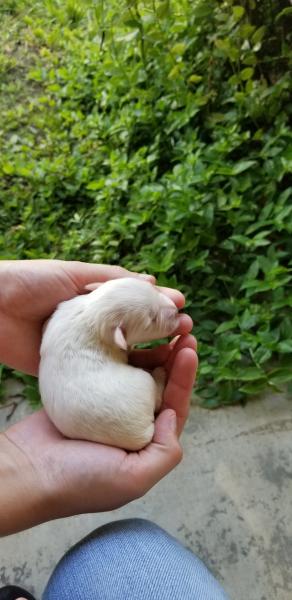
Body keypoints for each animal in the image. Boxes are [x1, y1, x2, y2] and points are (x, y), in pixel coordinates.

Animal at [38, 276, 180, 450]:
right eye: (152, 319)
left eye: (155, 289)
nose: (176, 310)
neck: (92, 315)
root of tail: (139, 436)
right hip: (143, 383)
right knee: (157, 399)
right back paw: (160, 373)